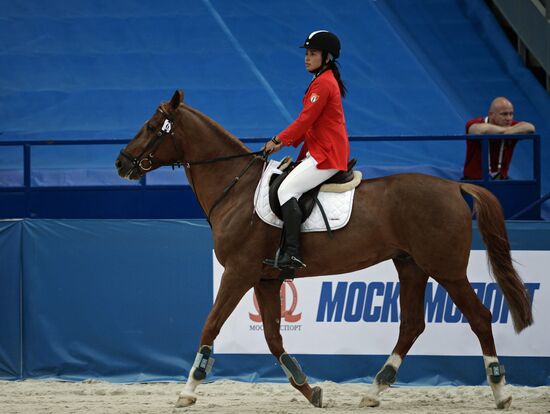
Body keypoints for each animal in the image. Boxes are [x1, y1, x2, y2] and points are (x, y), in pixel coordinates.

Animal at [116, 89, 536, 410]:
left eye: (152, 128)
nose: (121, 162)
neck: (234, 188)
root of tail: (453, 186)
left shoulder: (238, 273)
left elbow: (211, 325)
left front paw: (188, 391)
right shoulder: (266, 280)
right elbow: (273, 339)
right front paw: (309, 389)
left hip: (445, 268)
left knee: (480, 317)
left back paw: (500, 392)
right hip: (411, 265)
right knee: (412, 325)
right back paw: (374, 391)